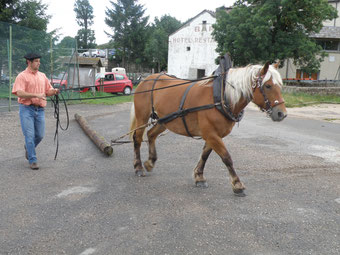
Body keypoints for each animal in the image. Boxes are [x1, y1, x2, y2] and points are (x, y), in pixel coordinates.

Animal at [130, 59, 286, 195]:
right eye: (268, 86)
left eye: (280, 85)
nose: (282, 114)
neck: (221, 97)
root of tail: (146, 79)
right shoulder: (211, 134)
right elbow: (226, 157)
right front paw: (237, 184)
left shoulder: (214, 134)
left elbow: (205, 155)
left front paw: (199, 177)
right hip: (142, 117)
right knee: (137, 138)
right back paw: (138, 167)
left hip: (164, 121)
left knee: (151, 134)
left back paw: (150, 162)